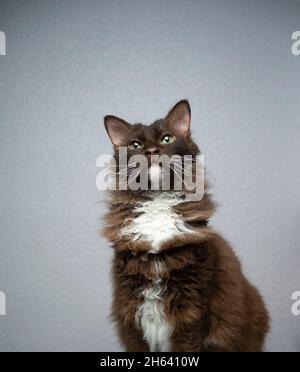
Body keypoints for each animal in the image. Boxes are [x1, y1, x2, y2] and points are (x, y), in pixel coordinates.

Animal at [103, 99, 270, 352]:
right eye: (135, 145)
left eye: (167, 139)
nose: (151, 151)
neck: (158, 200)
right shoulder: (131, 307)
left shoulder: (191, 308)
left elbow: (186, 344)